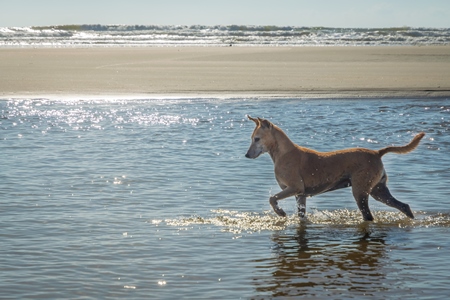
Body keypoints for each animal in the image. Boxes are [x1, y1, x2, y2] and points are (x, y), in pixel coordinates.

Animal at [246, 116, 426, 221]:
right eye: (252, 138)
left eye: (257, 139)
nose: (247, 155)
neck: (283, 153)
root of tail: (377, 153)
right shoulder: (300, 195)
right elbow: (301, 215)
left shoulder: (294, 188)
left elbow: (272, 198)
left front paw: (280, 212)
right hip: (378, 190)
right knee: (404, 206)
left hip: (360, 190)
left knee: (368, 216)